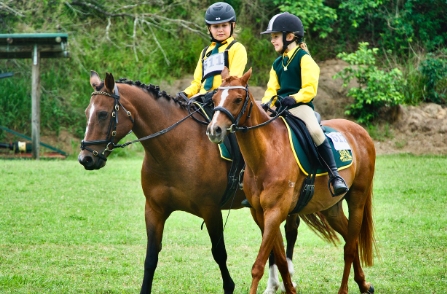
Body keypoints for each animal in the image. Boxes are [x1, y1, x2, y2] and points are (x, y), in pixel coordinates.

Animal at [78, 71, 300, 294]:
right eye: (87, 112)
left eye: (103, 114)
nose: (85, 158)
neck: (176, 147)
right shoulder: (154, 209)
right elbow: (151, 258)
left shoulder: (211, 211)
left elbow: (219, 253)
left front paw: (229, 286)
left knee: (289, 231)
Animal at [206, 67, 378, 294]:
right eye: (214, 98)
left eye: (237, 99)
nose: (214, 130)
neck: (266, 155)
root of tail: (360, 131)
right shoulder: (260, 213)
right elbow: (279, 259)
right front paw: (289, 288)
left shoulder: (275, 211)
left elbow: (258, 265)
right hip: (331, 208)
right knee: (351, 238)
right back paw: (363, 283)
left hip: (357, 198)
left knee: (350, 247)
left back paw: (344, 289)